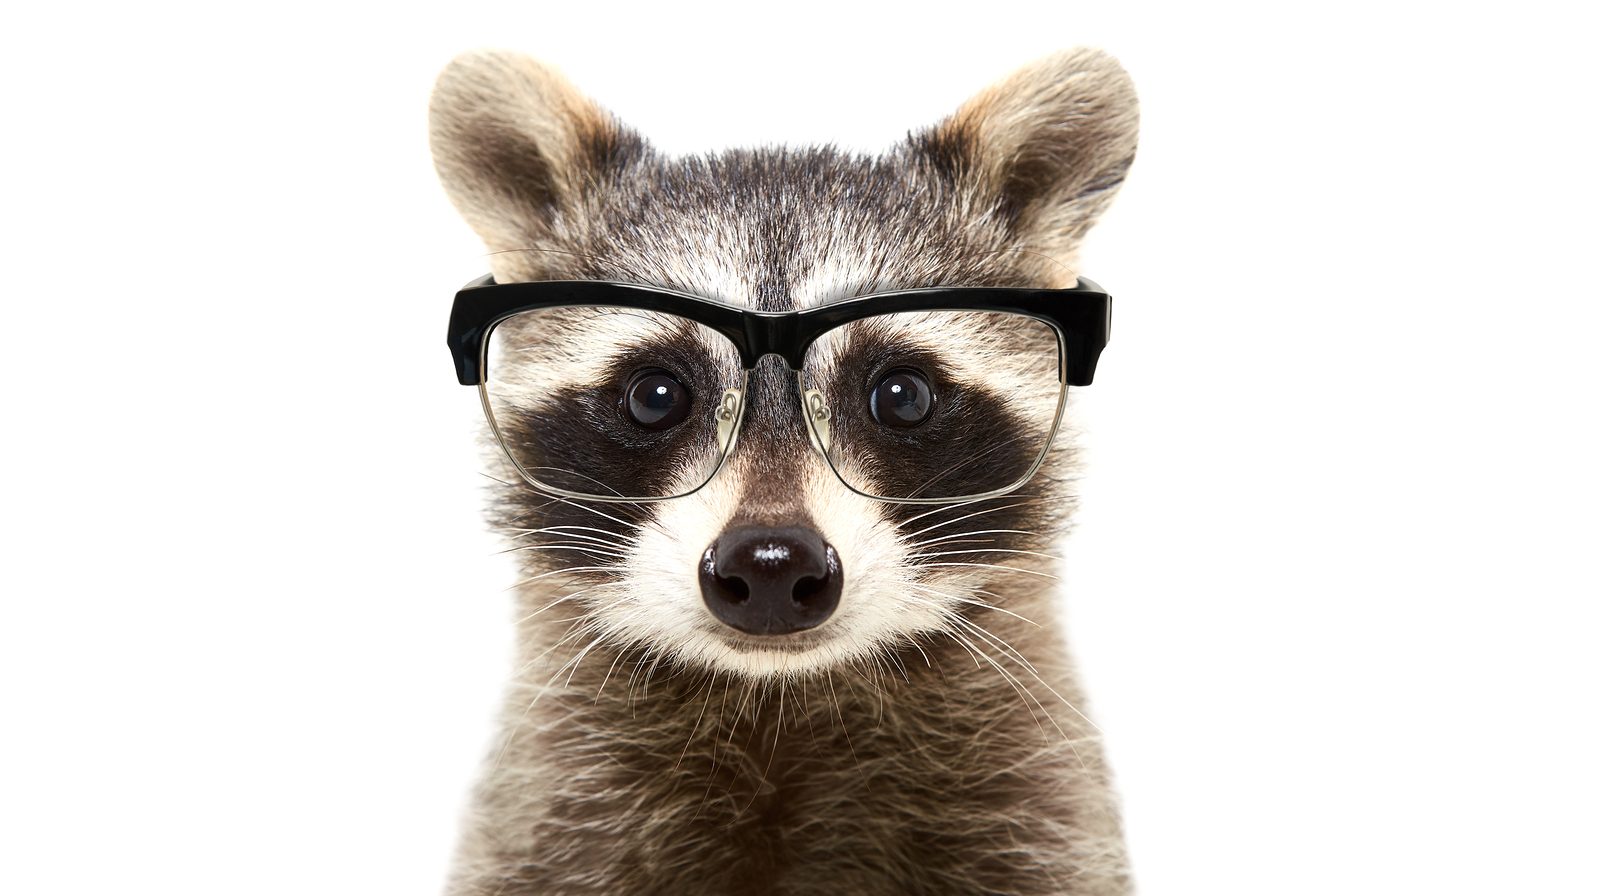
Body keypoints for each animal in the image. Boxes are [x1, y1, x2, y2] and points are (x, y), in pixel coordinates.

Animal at [430, 48, 1139, 896]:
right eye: (655, 396)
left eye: (902, 395)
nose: (771, 562)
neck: (776, 702)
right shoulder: (548, 816)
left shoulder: (1038, 813)